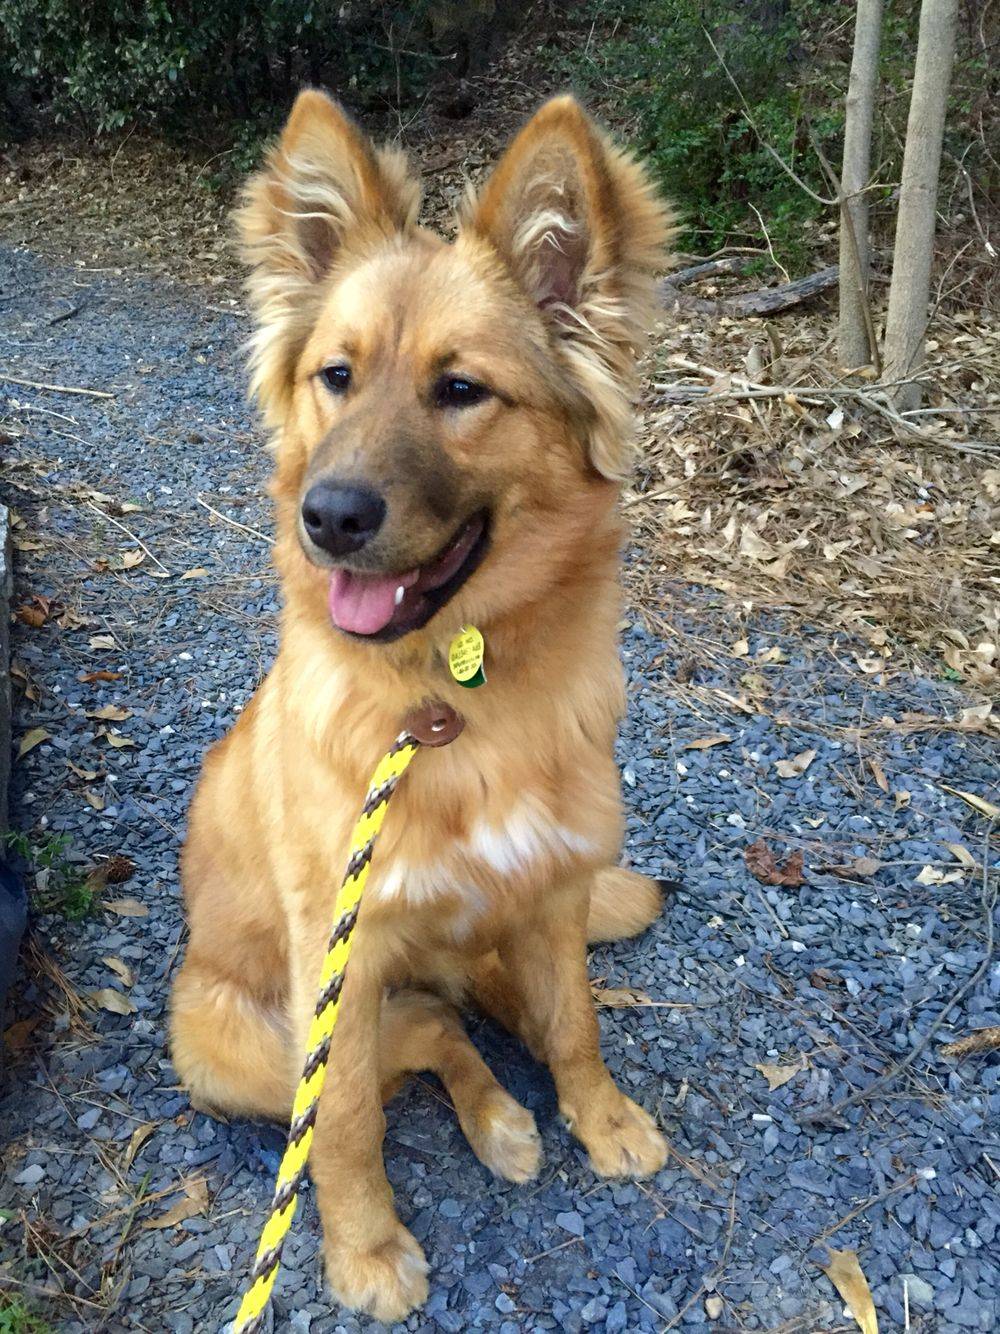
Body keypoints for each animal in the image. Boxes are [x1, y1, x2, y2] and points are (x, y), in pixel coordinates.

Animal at [170, 88, 674, 1317]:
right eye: (335, 376)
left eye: (460, 390)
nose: (330, 516)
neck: (449, 701)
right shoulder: (337, 953)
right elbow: (346, 1117)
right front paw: (362, 1247)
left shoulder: (551, 884)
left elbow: (577, 1018)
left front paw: (601, 1116)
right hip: (232, 1046)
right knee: (423, 1031)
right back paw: (492, 1115)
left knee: (473, 1006)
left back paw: (509, 1103)